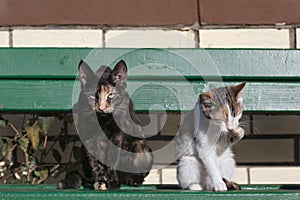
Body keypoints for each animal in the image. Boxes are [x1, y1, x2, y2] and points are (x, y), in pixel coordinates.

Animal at [57, 60, 154, 190]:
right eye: (93, 96)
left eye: (111, 95)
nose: (102, 108)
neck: (103, 122)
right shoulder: (88, 137)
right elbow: (96, 164)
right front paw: (101, 182)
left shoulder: (117, 135)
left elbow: (112, 161)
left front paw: (113, 183)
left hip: (142, 147)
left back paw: (133, 179)